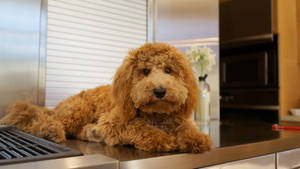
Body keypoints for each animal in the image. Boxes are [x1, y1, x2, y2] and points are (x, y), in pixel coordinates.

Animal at [0, 42, 212, 153]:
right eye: (145, 71)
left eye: (169, 70)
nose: (159, 91)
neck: (157, 116)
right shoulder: (113, 122)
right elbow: (138, 126)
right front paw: (161, 138)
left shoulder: (180, 120)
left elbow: (187, 128)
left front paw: (196, 138)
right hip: (78, 109)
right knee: (39, 122)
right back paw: (51, 132)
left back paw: (91, 133)